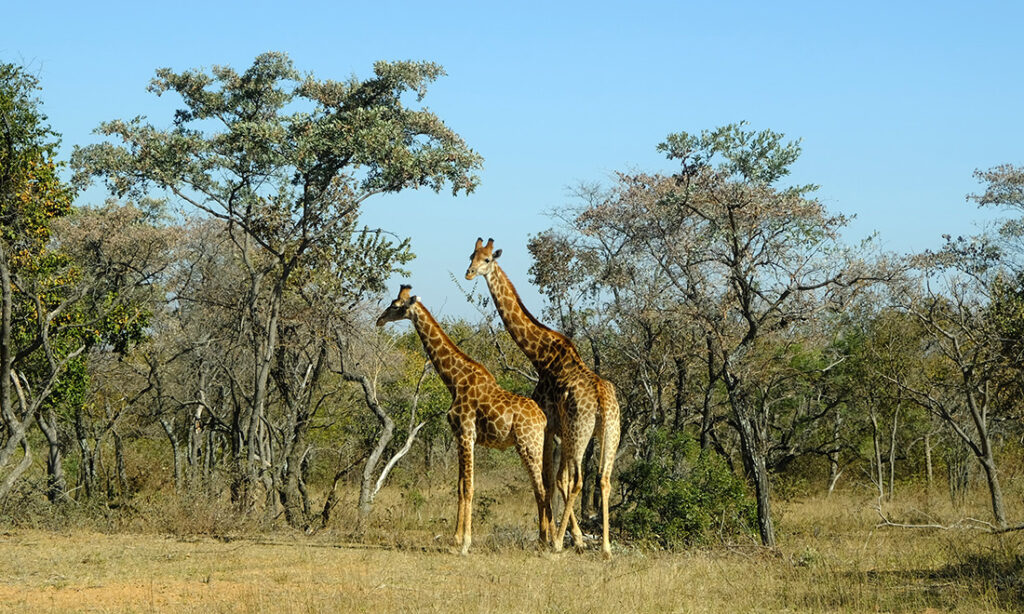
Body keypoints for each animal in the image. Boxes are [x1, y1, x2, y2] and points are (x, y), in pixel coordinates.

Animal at [376, 284, 552, 552]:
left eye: (395, 305)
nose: (379, 319)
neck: (455, 381)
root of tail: (542, 419)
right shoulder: (461, 436)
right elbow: (459, 487)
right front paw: (457, 538)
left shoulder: (465, 433)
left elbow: (468, 487)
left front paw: (464, 543)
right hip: (536, 445)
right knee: (542, 487)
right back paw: (549, 539)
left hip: (527, 444)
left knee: (541, 488)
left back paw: (547, 542)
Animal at [466, 237, 622, 560]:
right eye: (470, 255)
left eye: (487, 259)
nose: (469, 273)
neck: (540, 356)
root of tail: (602, 399)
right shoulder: (559, 431)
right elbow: (556, 481)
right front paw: (573, 538)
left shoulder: (549, 426)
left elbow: (550, 481)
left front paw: (553, 538)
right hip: (610, 432)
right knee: (603, 478)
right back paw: (605, 547)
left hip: (579, 432)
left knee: (577, 480)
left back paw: (561, 542)